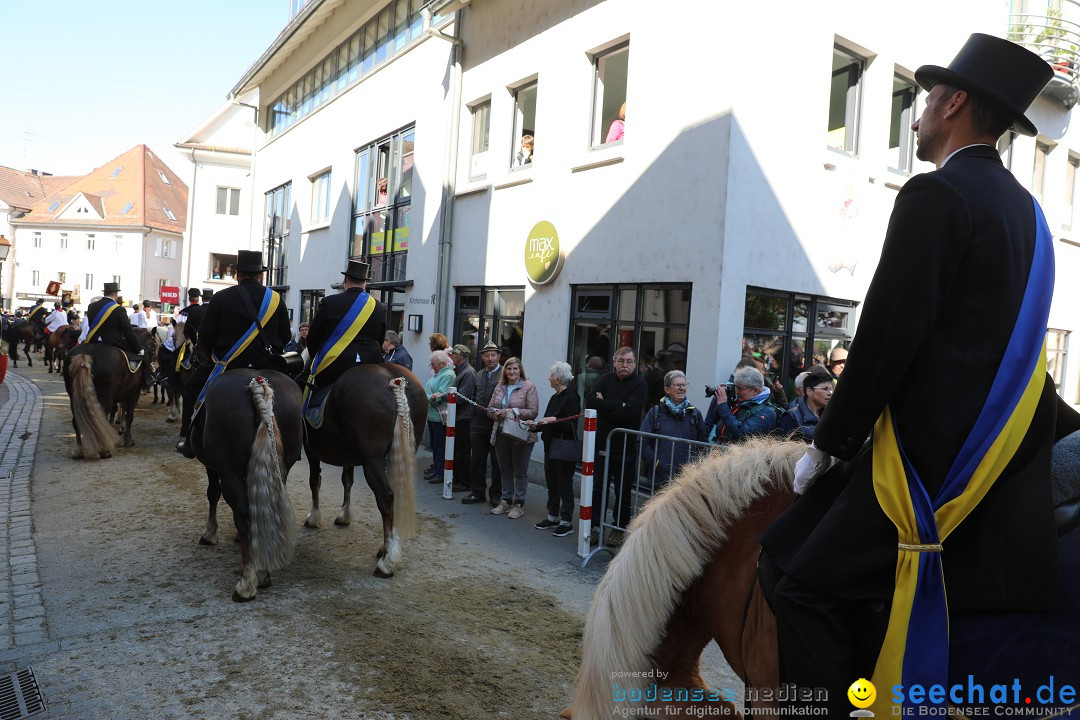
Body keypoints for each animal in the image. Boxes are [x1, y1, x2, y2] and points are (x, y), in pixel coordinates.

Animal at [191, 371, 304, 604]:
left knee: (243, 515)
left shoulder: (215, 468)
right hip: (281, 468)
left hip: (229, 473)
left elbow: (212, 493)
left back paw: (248, 581)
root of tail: (258, 385)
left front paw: (209, 533)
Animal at [304, 362, 425, 578]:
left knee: (385, 497)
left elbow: (314, 480)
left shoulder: (310, 449)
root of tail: (394, 380)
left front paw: (314, 517)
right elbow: (347, 479)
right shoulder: (350, 457)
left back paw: (387, 561)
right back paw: (385, 548)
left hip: (373, 461)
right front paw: (344, 515)